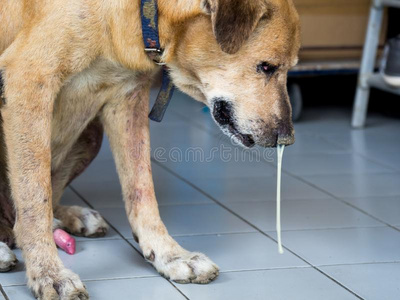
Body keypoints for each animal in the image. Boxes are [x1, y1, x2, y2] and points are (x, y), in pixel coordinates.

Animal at [0, 0, 300, 298]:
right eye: (266, 67)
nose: (287, 139)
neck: (141, 12)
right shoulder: (29, 82)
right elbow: (34, 200)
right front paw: (48, 273)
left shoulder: (129, 96)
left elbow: (142, 191)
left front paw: (170, 255)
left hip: (92, 135)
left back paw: (71, 218)